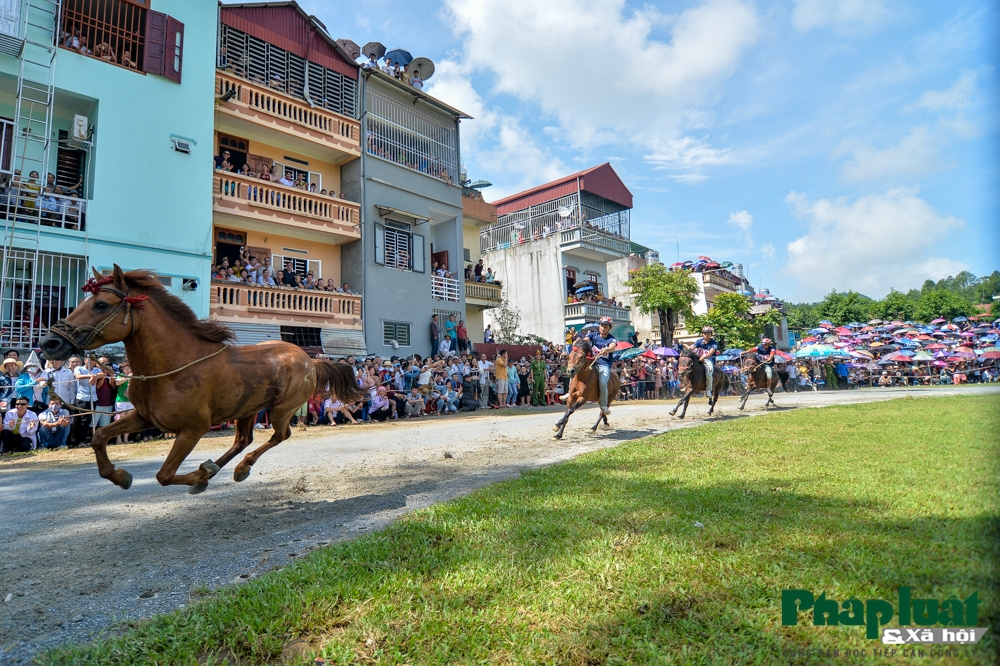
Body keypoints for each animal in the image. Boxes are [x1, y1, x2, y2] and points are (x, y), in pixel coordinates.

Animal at [39, 266, 362, 492]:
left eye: (101, 305)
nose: (50, 343)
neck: (175, 365)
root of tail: (310, 360)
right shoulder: (145, 417)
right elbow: (99, 436)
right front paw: (120, 476)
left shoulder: (193, 429)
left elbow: (164, 474)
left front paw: (199, 475)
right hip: (248, 408)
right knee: (243, 439)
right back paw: (221, 469)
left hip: (282, 409)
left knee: (279, 435)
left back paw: (236, 469)